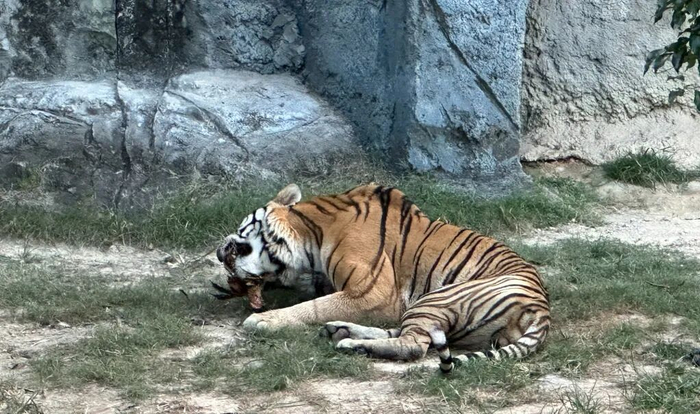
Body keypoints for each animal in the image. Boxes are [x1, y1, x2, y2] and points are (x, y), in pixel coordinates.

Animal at [216, 183, 550, 372]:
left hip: (436, 297)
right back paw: (341, 331)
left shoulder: (374, 291)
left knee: (414, 345)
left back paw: (350, 343)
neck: (313, 233)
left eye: (241, 231)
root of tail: (542, 311)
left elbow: (315, 306)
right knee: (404, 333)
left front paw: (263, 320)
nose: (220, 253)